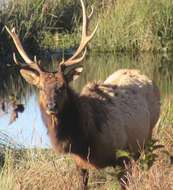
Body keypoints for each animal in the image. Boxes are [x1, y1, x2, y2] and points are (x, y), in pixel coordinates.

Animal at [5, 0, 161, 189]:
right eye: (41, 88)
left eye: (62, 86)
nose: (51, 106)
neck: (85, 141)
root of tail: (141, 74)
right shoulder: (79, 163)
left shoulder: (122, 155)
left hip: (149, 135)